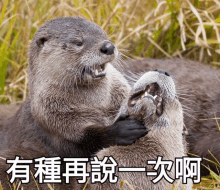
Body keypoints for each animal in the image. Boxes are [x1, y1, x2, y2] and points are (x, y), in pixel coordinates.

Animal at [0, 17, 148, 189]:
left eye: (104, 35)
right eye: (78, 42)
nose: (108, 46)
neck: (97, 106)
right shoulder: (54, 124)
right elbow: (84, 144)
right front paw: (123, 130)